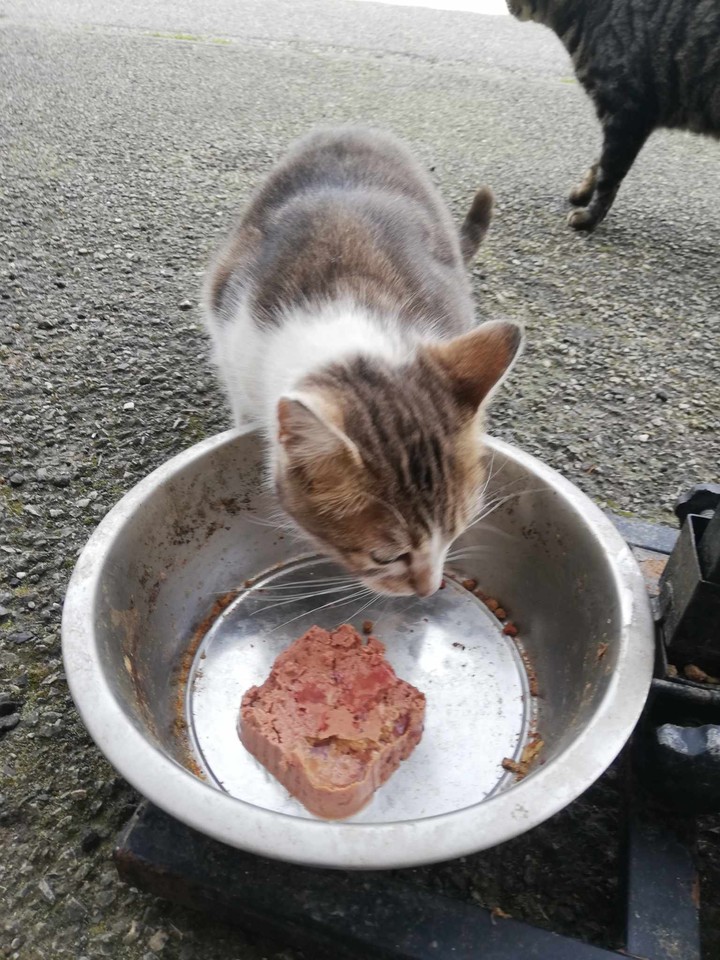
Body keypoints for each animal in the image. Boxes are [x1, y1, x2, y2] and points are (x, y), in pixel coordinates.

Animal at [203, 126, 523, 598]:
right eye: (386, 557)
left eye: (456, 531)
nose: (430, 590)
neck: (349, 317)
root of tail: (351, 128)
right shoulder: (234, 335)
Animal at [507, 0, 720, 231]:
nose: (506, 6)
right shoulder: (617, 119)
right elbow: (598, 162)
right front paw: (584, 192)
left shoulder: (627, 115)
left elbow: (609, 176)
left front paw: (590, 217)